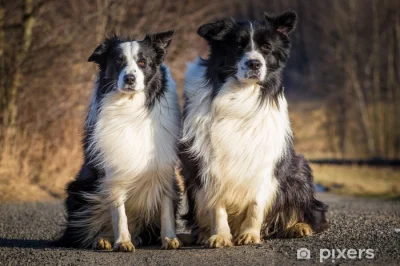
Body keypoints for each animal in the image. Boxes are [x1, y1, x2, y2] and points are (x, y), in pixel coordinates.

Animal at [56, 31, 181, 251]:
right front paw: (122, 241)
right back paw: (102, 240)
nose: (129, 78)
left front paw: (169, 238)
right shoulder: (115, 167)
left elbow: (166, 205)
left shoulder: (164, 166)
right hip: (80, 190)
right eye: (118, 61)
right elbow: (118, 210)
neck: (131, 106)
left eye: (142, 62)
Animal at [180, 11, 330, 248]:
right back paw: (203, 234)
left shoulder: (264, 159)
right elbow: (217, 204)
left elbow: (256, 204)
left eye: (267, 48)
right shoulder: (208, 161)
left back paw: (298, 226)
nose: (254, 64)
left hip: (299, 170)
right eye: (238, 45)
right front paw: (220, 236)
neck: (241, 93)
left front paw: (250, 234)